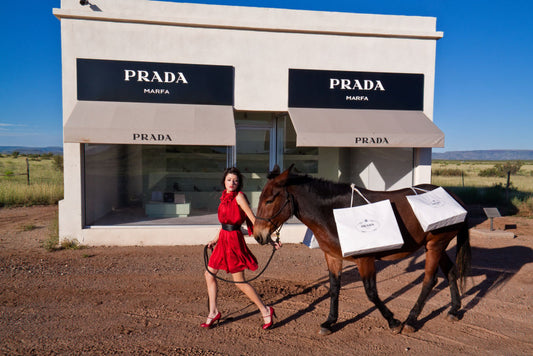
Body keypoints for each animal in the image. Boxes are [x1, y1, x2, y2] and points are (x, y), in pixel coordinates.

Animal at [254, 165, 470, 336]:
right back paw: (453, 310)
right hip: (436, 245)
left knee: (429, 280)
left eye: (269, 200)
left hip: (435, 245)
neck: (333, 212)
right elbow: (334, 288)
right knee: (451, 272)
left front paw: (393, 321)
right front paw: (330, 322)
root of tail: (455, 197)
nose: (257, 235)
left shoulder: (365, 259)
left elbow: (371, 292)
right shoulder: (332, 257)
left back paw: (410, 320)